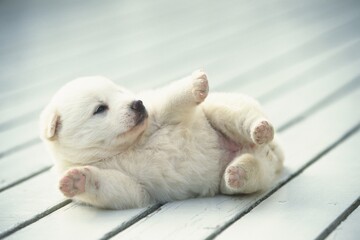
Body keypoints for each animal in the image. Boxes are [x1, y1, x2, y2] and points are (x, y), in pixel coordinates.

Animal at [40, 70, 284, 209]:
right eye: (100, 108)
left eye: (120, 92)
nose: (137, 104)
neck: (123, 149)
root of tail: (274, 152)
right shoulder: (134, 186)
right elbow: (114, 187)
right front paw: (76, 180)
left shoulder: (158, 114)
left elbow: (171, 99)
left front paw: (195, 84)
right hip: (246, 173)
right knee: (249, 173)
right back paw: (238, 172)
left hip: (221, 110)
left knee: (241, 116)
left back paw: (260, 129)